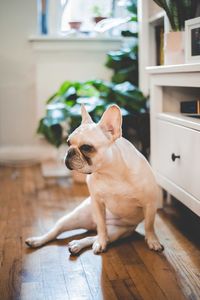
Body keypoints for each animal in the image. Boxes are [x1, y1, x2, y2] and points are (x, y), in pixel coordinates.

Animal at [25, 104, 163, 254]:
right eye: (68, 143)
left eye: (86, 147)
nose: (69, 152)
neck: (110, 173)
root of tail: (91, 224)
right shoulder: (97, 202)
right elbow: (102, 226)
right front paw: (101, 241)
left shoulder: (150, 204)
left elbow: (149, 225)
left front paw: (153, 241)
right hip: (75, 216)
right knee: (58, 230)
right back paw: (38, 240)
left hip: (117, 231)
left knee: (96, 236)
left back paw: (78, 244)